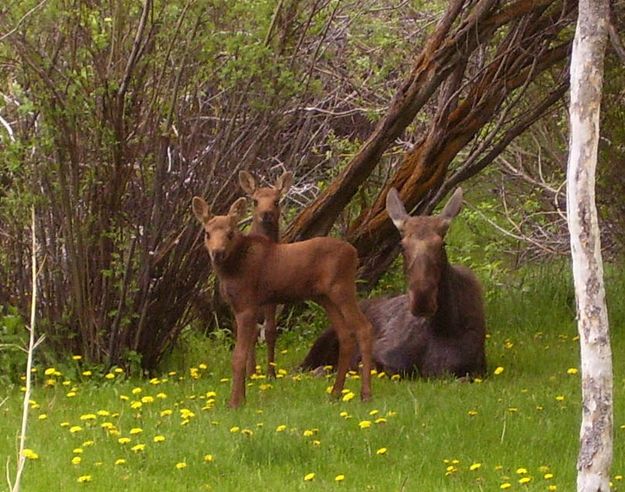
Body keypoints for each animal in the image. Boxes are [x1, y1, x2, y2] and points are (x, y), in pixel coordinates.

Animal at [193, 196, 372, 408]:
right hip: (325, 297)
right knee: (345, 335)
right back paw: (335, 393)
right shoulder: (237, 307)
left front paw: (235, 402)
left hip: (342, 289)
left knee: (364, 328)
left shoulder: (247, 305)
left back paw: (366, 394)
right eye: (207, 233)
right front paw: (241, 398)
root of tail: (354, 253)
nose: (217, 253)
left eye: (230, 233)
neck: (231, 269)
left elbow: (238, 356)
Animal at [300, 187, 486, 376]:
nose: (422, 300)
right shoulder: (380, 356)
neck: (442, 326)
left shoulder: (473, 370)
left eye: (442, 244)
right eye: (402, 246)